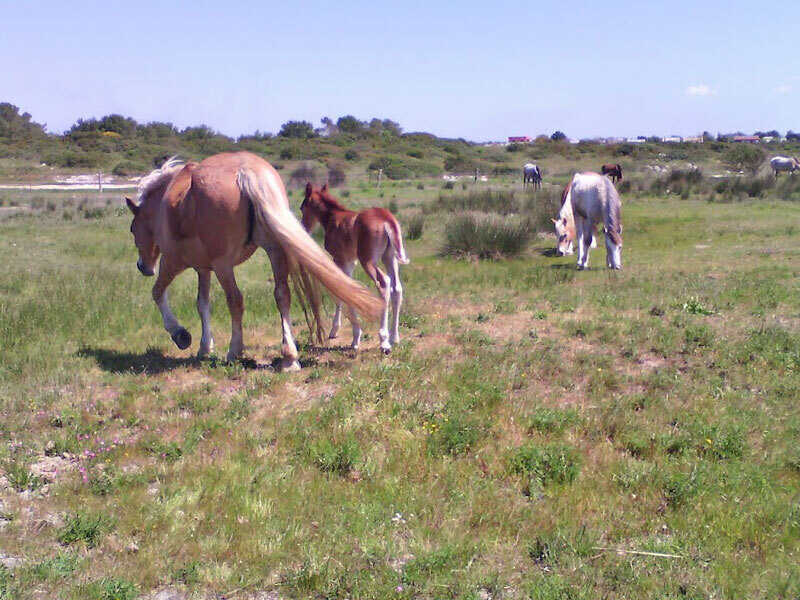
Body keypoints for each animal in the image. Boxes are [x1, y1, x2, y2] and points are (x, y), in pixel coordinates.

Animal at [125, 152, 382, 371]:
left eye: (132, 229)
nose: (142, 266)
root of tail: (246, 172)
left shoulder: (173, 262)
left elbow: (158, 292)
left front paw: (181, 335)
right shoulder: (203, 269)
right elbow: (202, 304)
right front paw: (205, 347)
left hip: (224, 265)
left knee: (236, 300)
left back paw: (235, 351)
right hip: (274, 252)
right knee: (282, 295)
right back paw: (289, 358)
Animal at [300, 183, 409, 355]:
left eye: (302, 207)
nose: (304, 227)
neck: (332, 218)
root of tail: (387, 219)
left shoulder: (340, 259)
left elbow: (341, 291)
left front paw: (351, 337)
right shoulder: (351, 262)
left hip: (368, 260)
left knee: (383, 283)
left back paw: (384, 340)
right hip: (389, 257)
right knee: (397, 288)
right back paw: (394, 337)